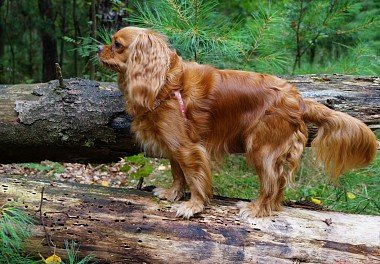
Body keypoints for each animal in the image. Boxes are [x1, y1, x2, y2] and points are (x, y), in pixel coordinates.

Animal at [98, 26, 378, 219]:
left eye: (117, 44)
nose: (99, 48)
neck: (166, 82)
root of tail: (296, 99)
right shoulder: (172, 143)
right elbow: (177, 172)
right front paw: (172, 194)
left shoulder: (188, 147)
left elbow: (194, 177)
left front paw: (192, 206)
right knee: (280, 185)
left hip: (261, 148)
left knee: (271, 182)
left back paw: (257, 209)